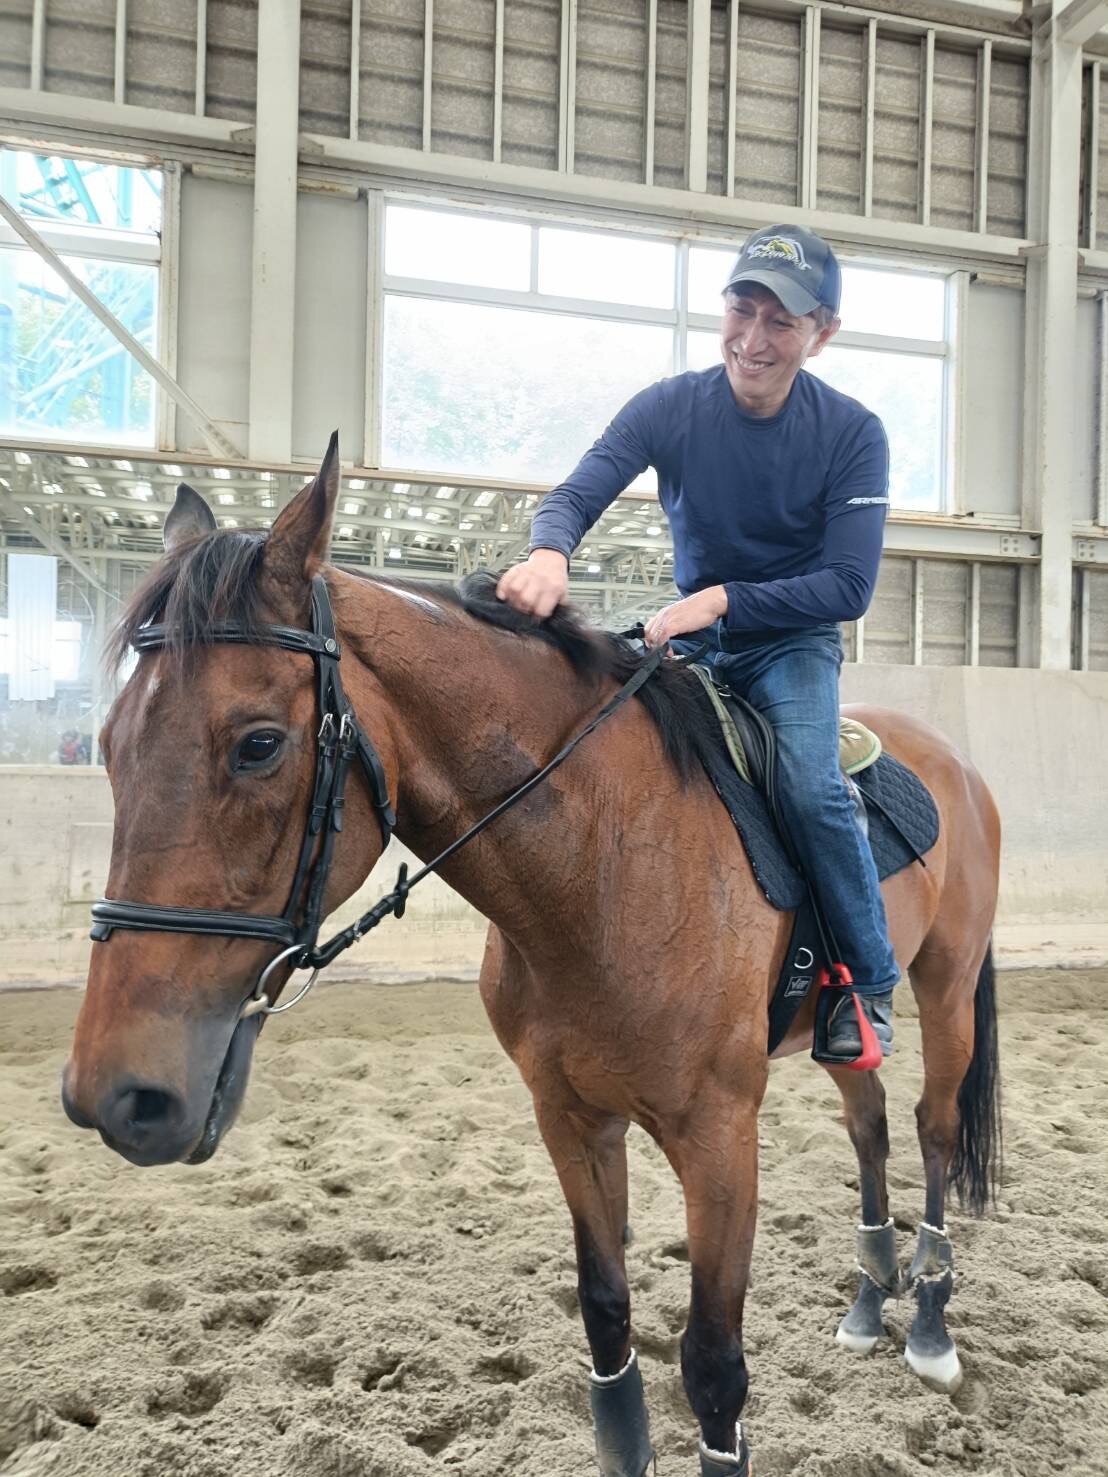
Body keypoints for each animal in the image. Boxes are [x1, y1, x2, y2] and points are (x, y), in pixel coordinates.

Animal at [62, 437, 1002, 1477]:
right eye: (109, 744)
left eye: (259, 744)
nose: (118, 1095)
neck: (601, 864)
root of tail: (954, 762)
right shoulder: (570, 1117)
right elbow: (606, 1318)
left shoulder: (720, 1137)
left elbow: (714, 1365)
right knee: (869, 1124)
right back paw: (871, 1300)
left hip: (946, 988)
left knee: (930, 1130)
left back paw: (928, 1319)